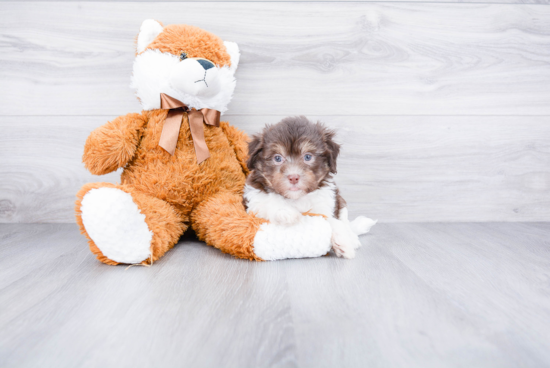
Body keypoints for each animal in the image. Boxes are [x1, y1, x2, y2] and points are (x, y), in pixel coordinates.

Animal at [247, 115, 380, 258]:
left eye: (308, 157)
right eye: (277, 158)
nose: (293, 177)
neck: (296, 198)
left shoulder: (326, 203)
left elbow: (332, 221)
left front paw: (343, 242)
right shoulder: (253, 200)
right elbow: (267, 202)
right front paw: (286, 212)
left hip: (340, 201)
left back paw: (351, 237)